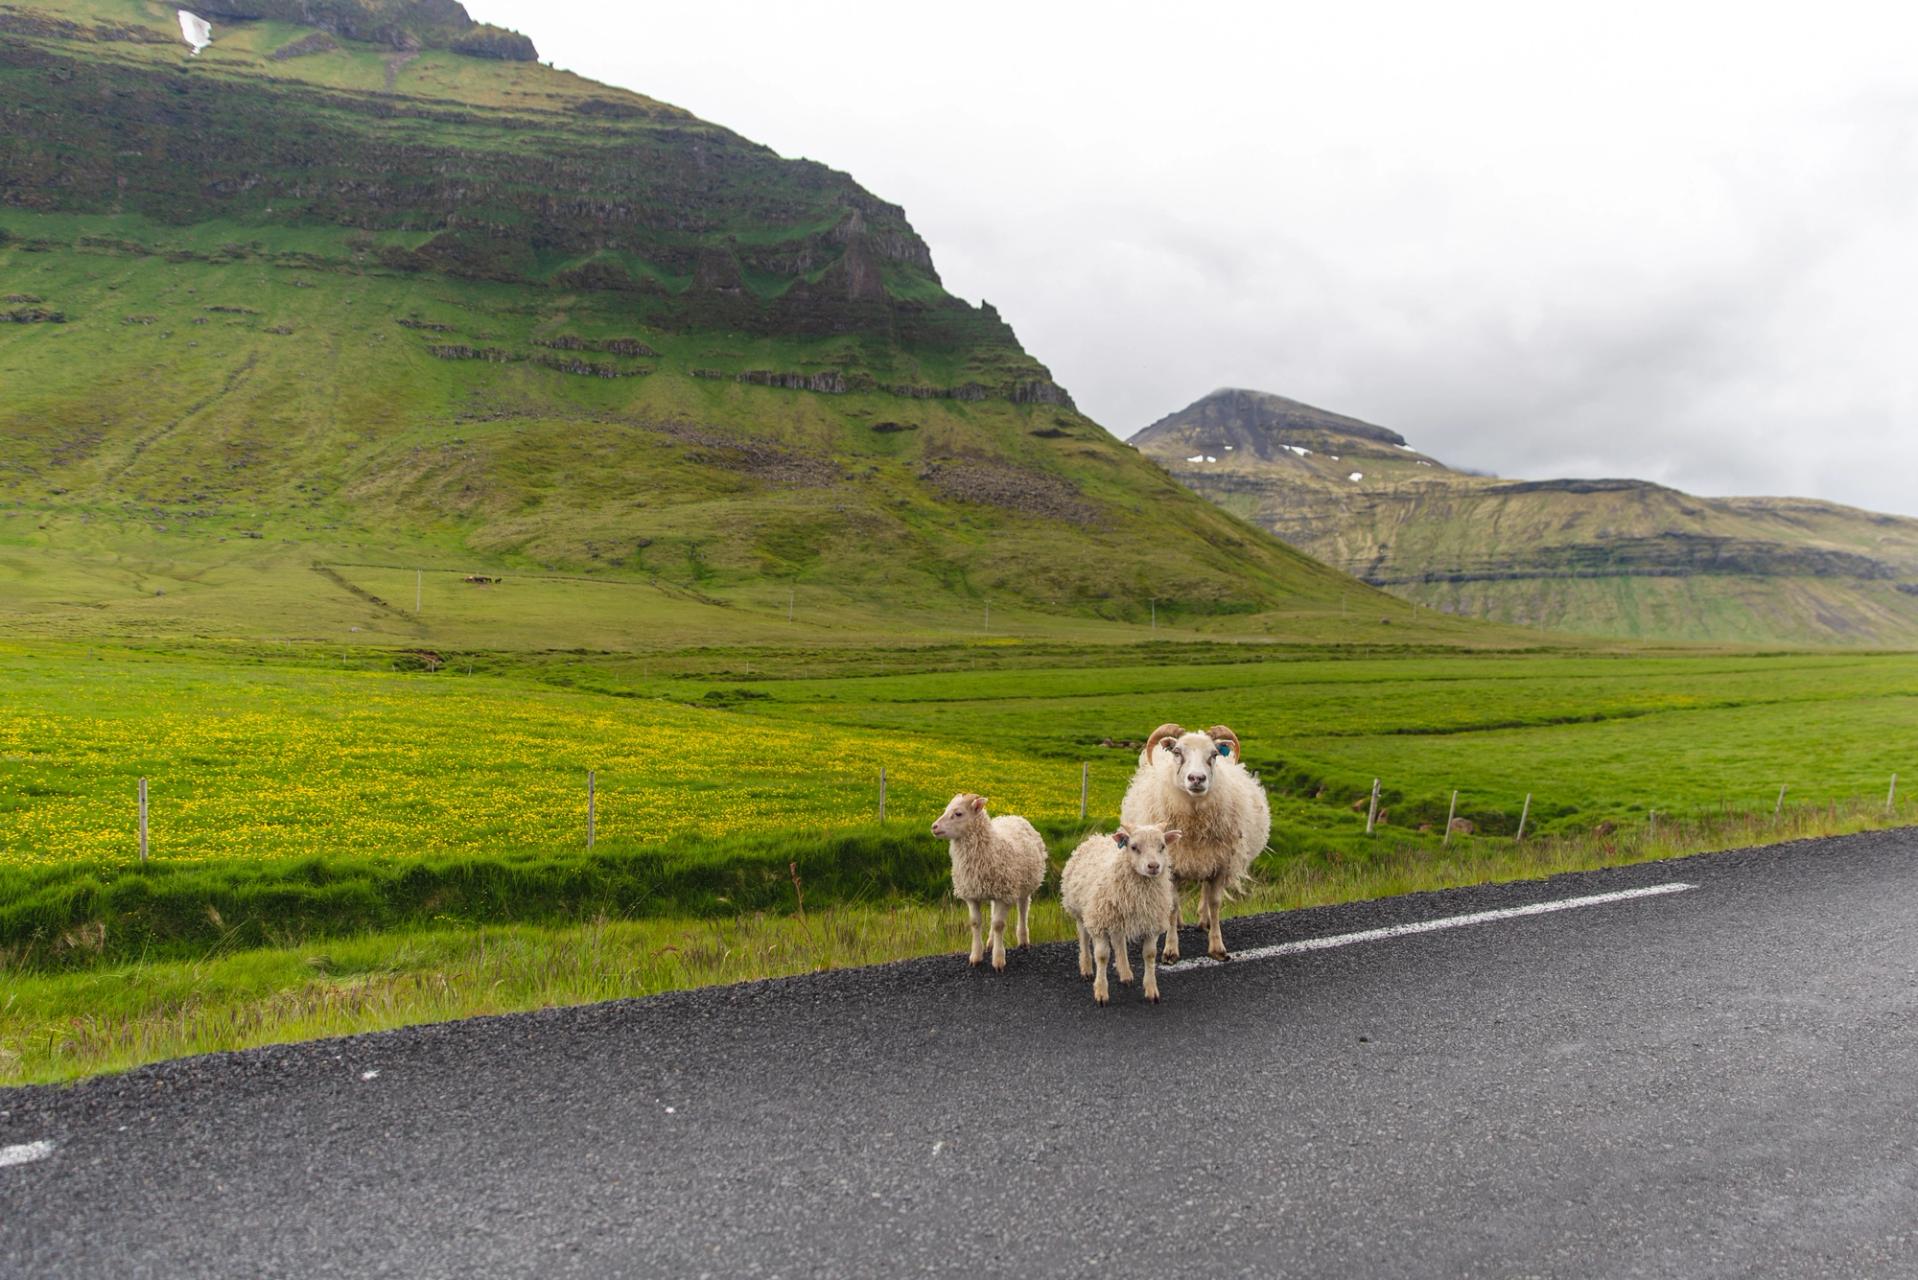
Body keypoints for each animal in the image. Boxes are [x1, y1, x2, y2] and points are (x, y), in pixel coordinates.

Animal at [928, 790, 1051, 971]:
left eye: (958, 813)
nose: (934, 827)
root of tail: (1012, 816)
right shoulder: (972, 894)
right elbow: (975, 923)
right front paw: (975, 956)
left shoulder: (1004, 895)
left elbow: (999, 925)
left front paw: (998, 960)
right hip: (994, 888)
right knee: (993, 914)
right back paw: (990, 943)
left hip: (1025, 884)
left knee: (1023, 909)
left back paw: (1023, 940)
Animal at [1058, 825, 1173, 1005]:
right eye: (1134, 847)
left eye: (1162, 846)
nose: (1154, 866)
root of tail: (1097, 837)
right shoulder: (1099, 922)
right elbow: (1102, 956)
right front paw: (1101, 993)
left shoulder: (1151, 925)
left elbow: (1149, 955)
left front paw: (1151, 991)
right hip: (1081, 911)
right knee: (1084, 938)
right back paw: (1086, 968)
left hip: (1117, 919)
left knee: (1119, 942)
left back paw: (1125, 974)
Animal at [1120, 725, 1265, 967]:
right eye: (1178, 752)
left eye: (1214, 754)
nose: (1197, 778)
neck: (1195, 821)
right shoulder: (1170, 866)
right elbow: (1172, 905)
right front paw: (1170, 950)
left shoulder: (1221, 863)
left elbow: (1215, 903)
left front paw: (1217, 947)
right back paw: (1178, 924)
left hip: (1209, 859)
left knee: (1205, 890)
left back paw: (1204, 921)